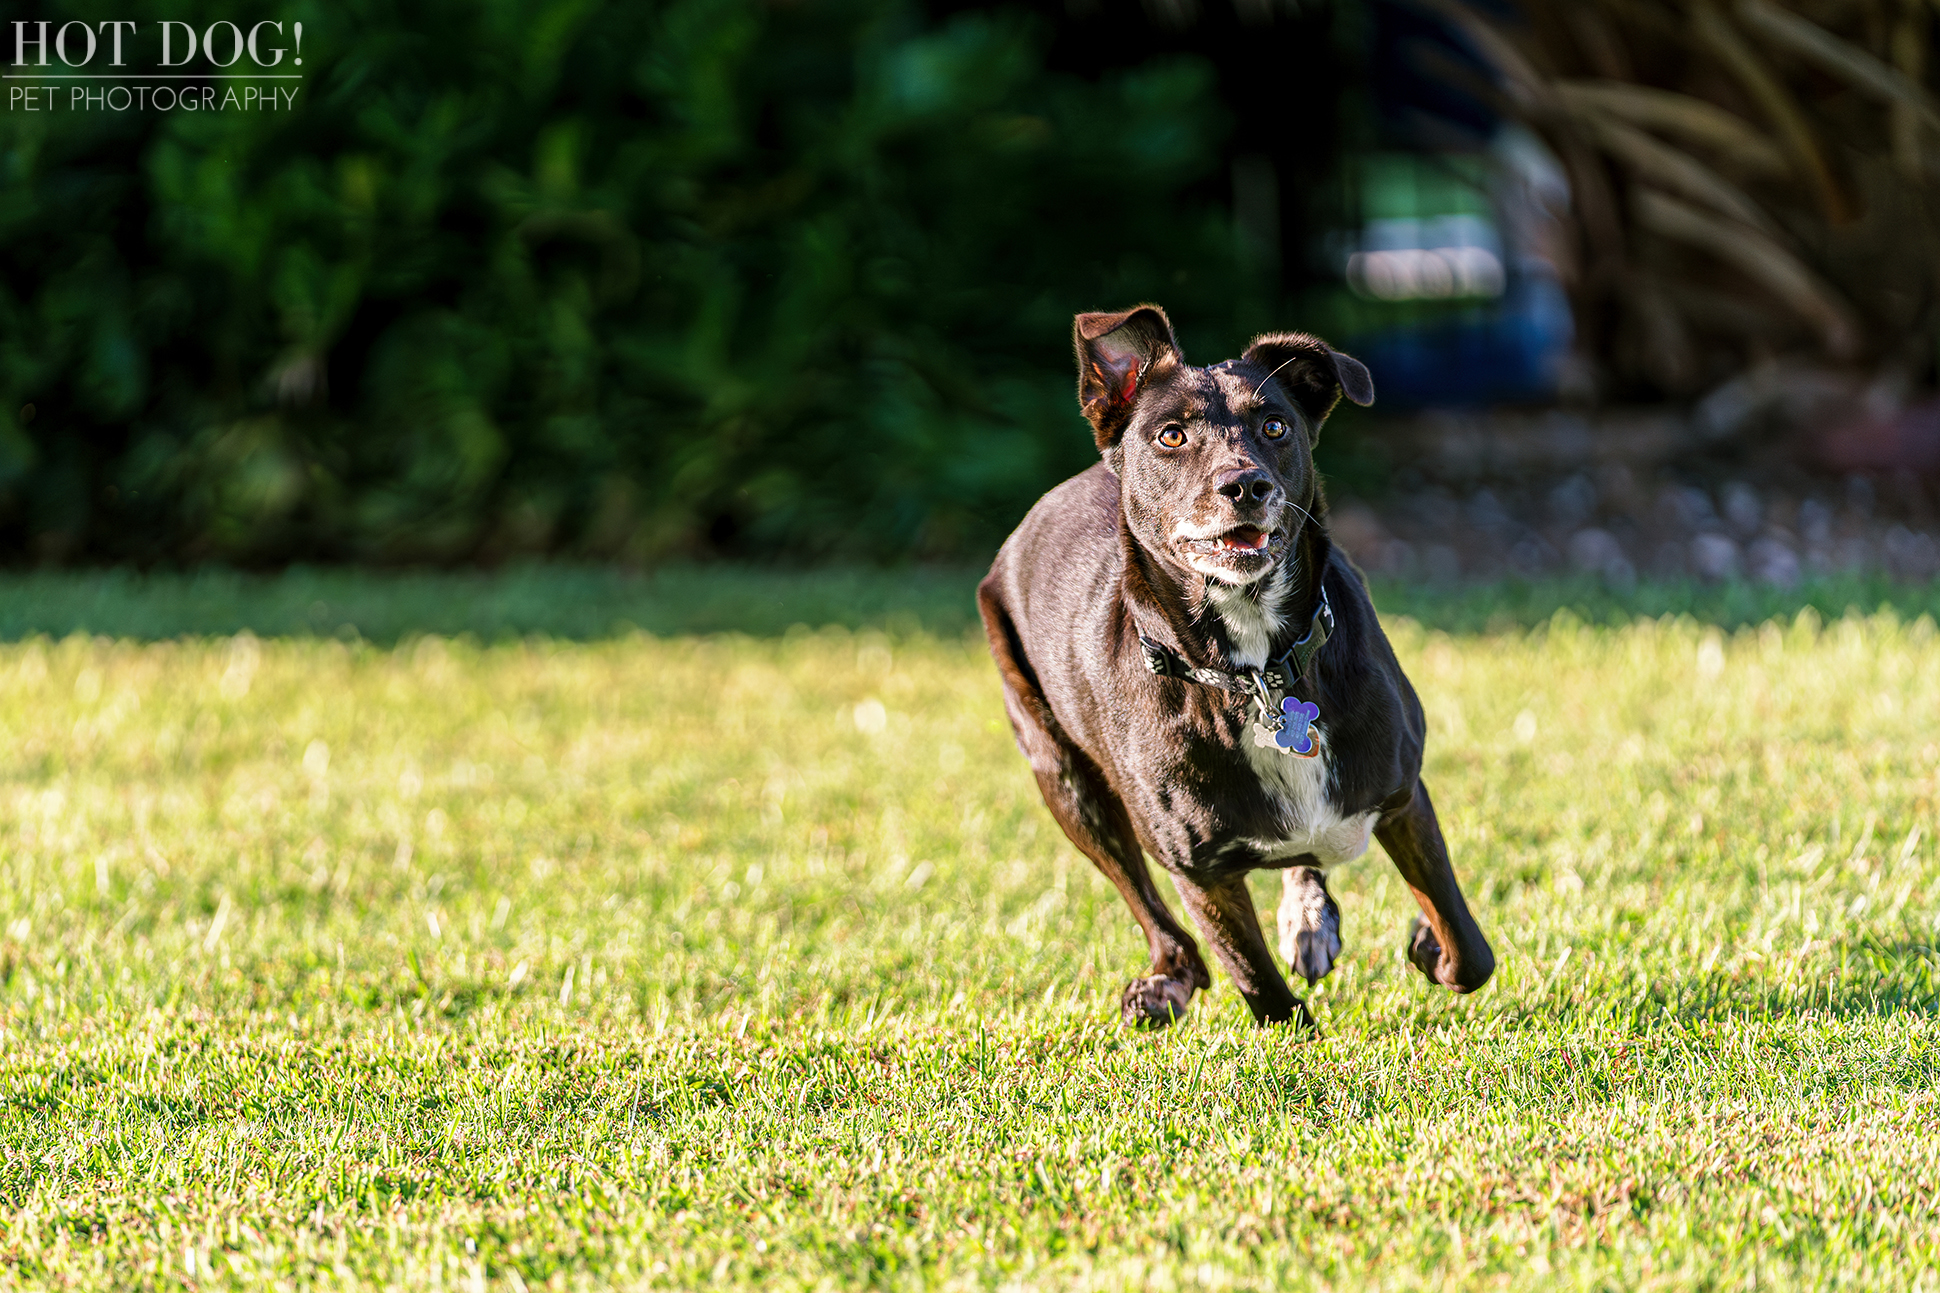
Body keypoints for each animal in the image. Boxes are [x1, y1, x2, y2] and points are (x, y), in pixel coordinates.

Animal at [977, 304, 1489, 1025]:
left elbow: (1468, 949)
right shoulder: (1203, 873)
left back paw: (1309, 916)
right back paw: (1170, 976)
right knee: (1147, 902)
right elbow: (1265, 994)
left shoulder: (1402, 798)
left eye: (1275, 425)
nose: (1246, 484)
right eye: (1171, 435)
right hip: (1066, 782)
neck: (1254, 670)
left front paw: (1426, 941)